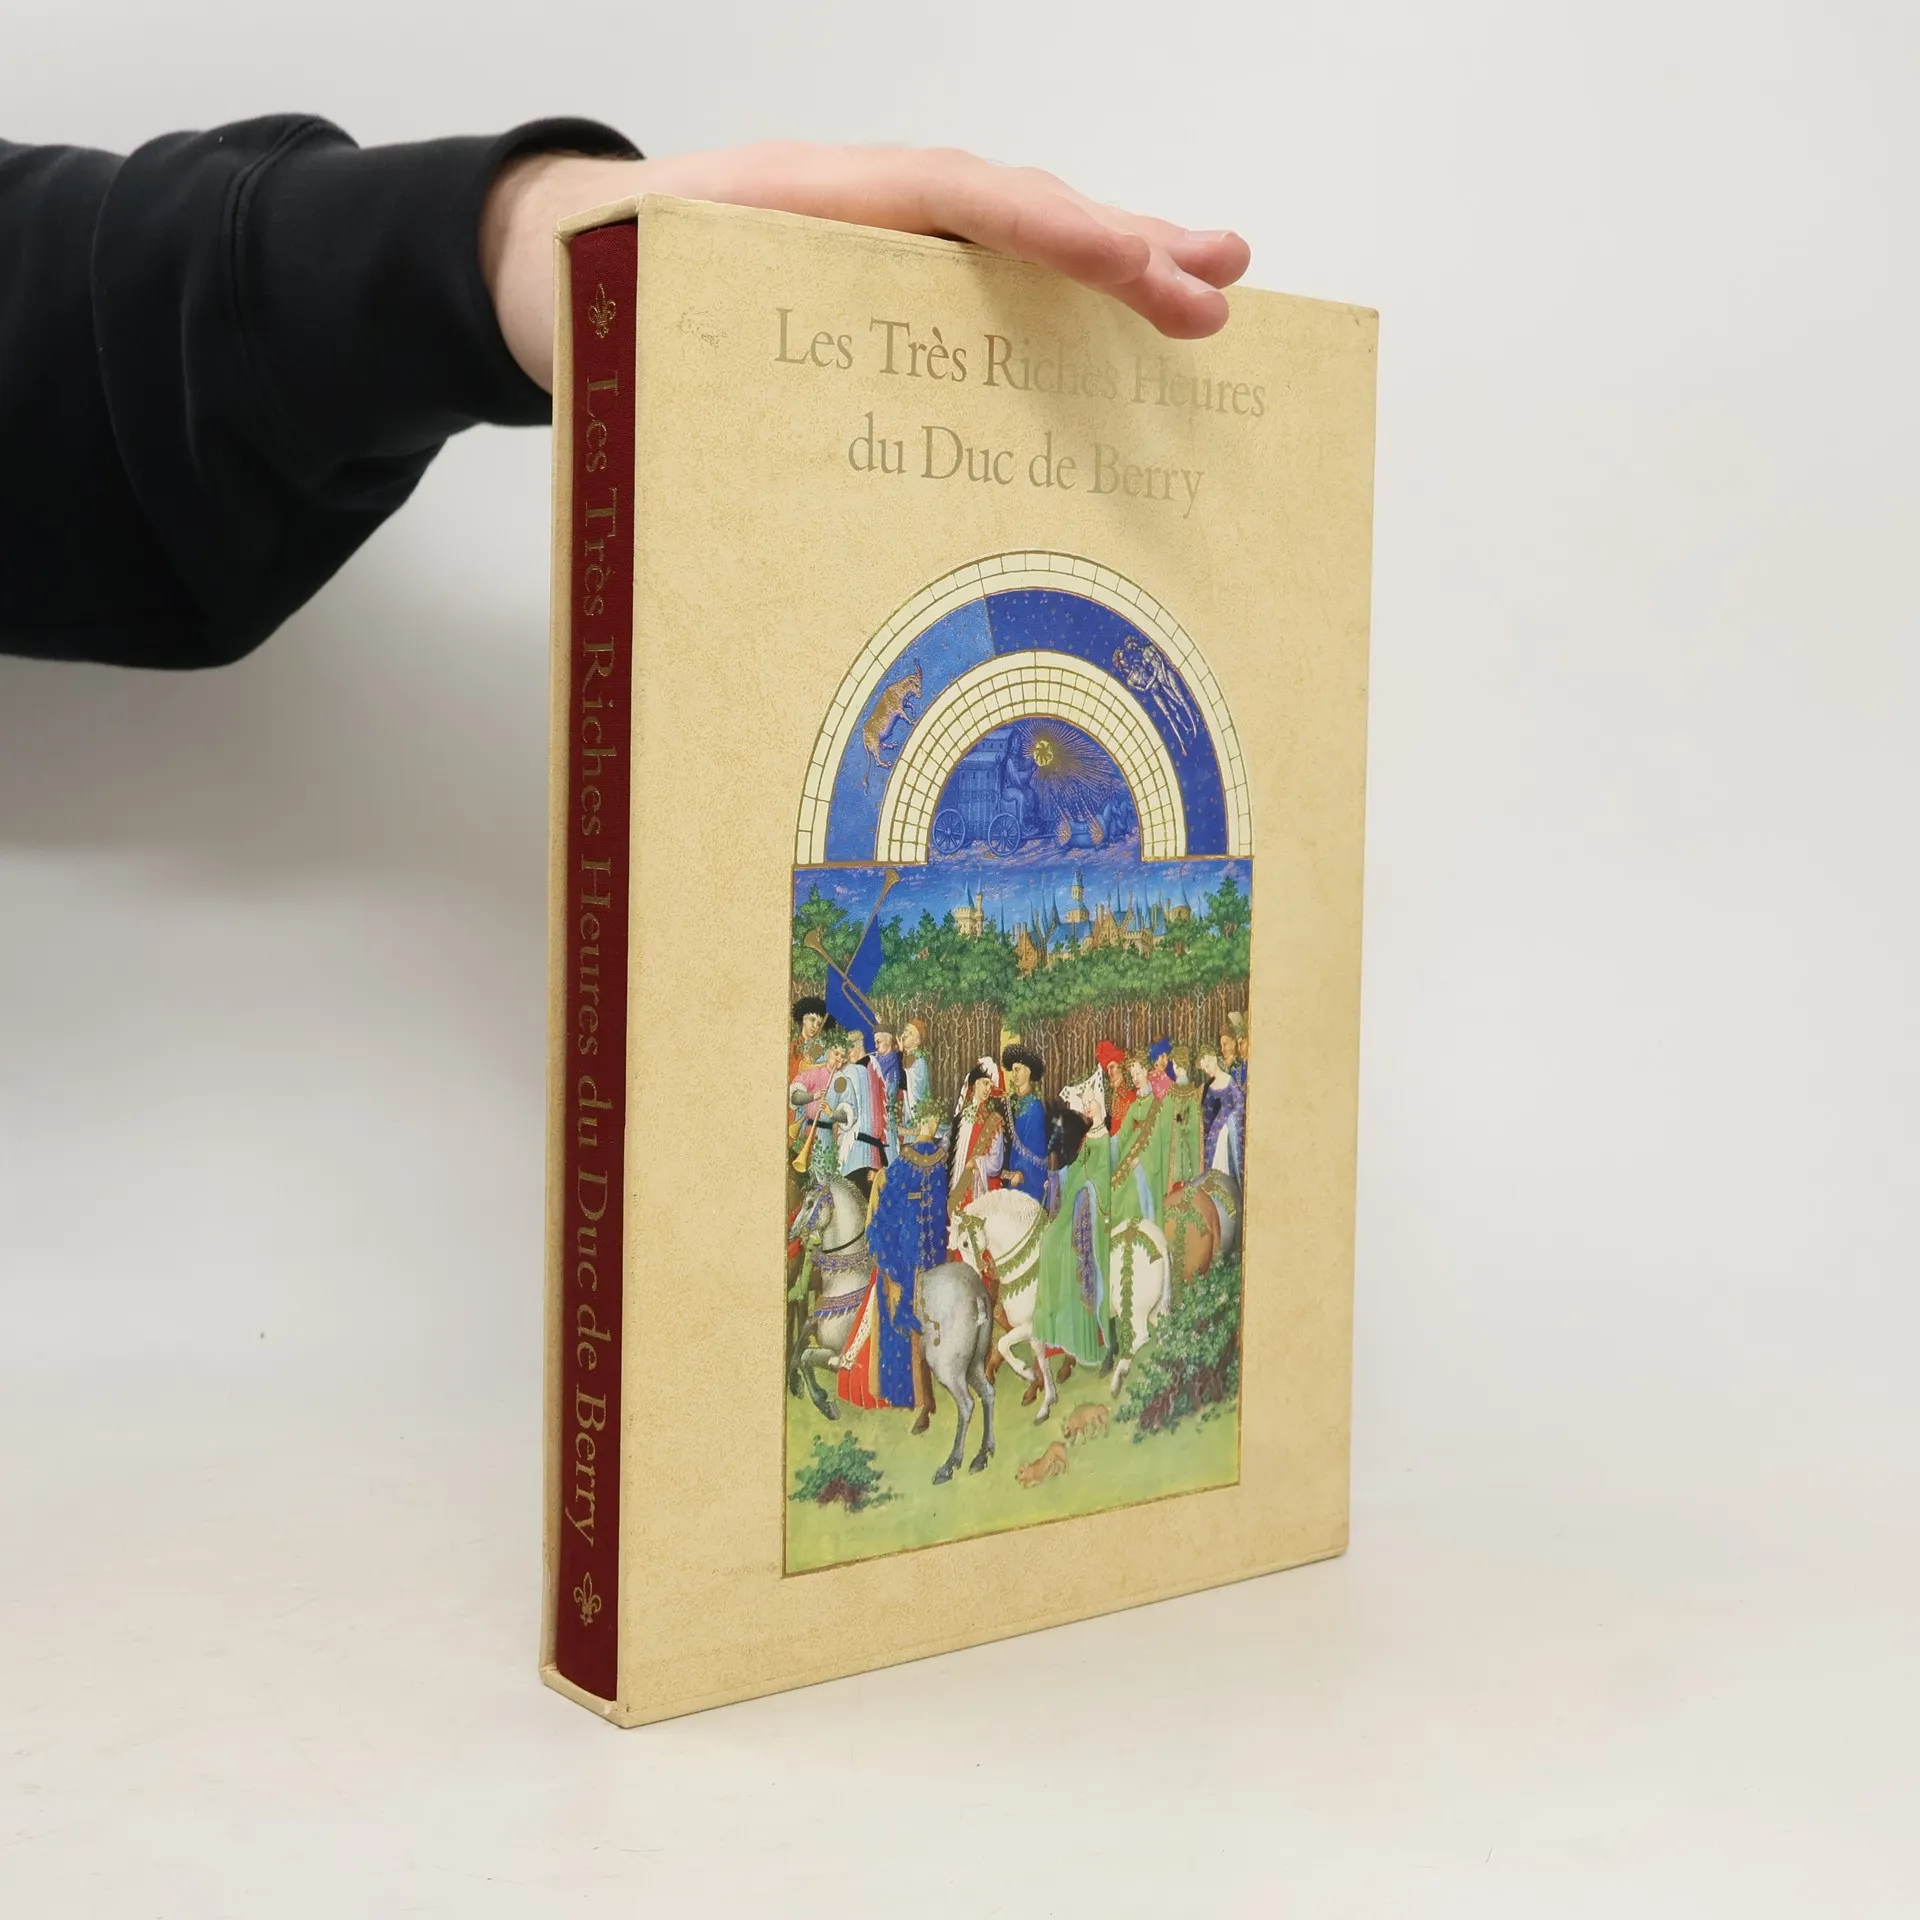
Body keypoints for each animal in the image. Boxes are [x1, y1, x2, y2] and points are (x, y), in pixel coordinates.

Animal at [787, 1176, 875, 1421]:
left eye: (810, 1203)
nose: (792, 1233)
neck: (848, 1279)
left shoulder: (839, 1355)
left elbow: (805, 1355)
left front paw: (824, 1403)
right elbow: (801, 1347)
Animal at [916, 1261, 996, 1482]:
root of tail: (977, 1294)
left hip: (947, 1369)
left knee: (966, 1404)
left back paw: (950, 1464)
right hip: (974, 1361)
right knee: (987, 1392)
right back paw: (982, 1455)